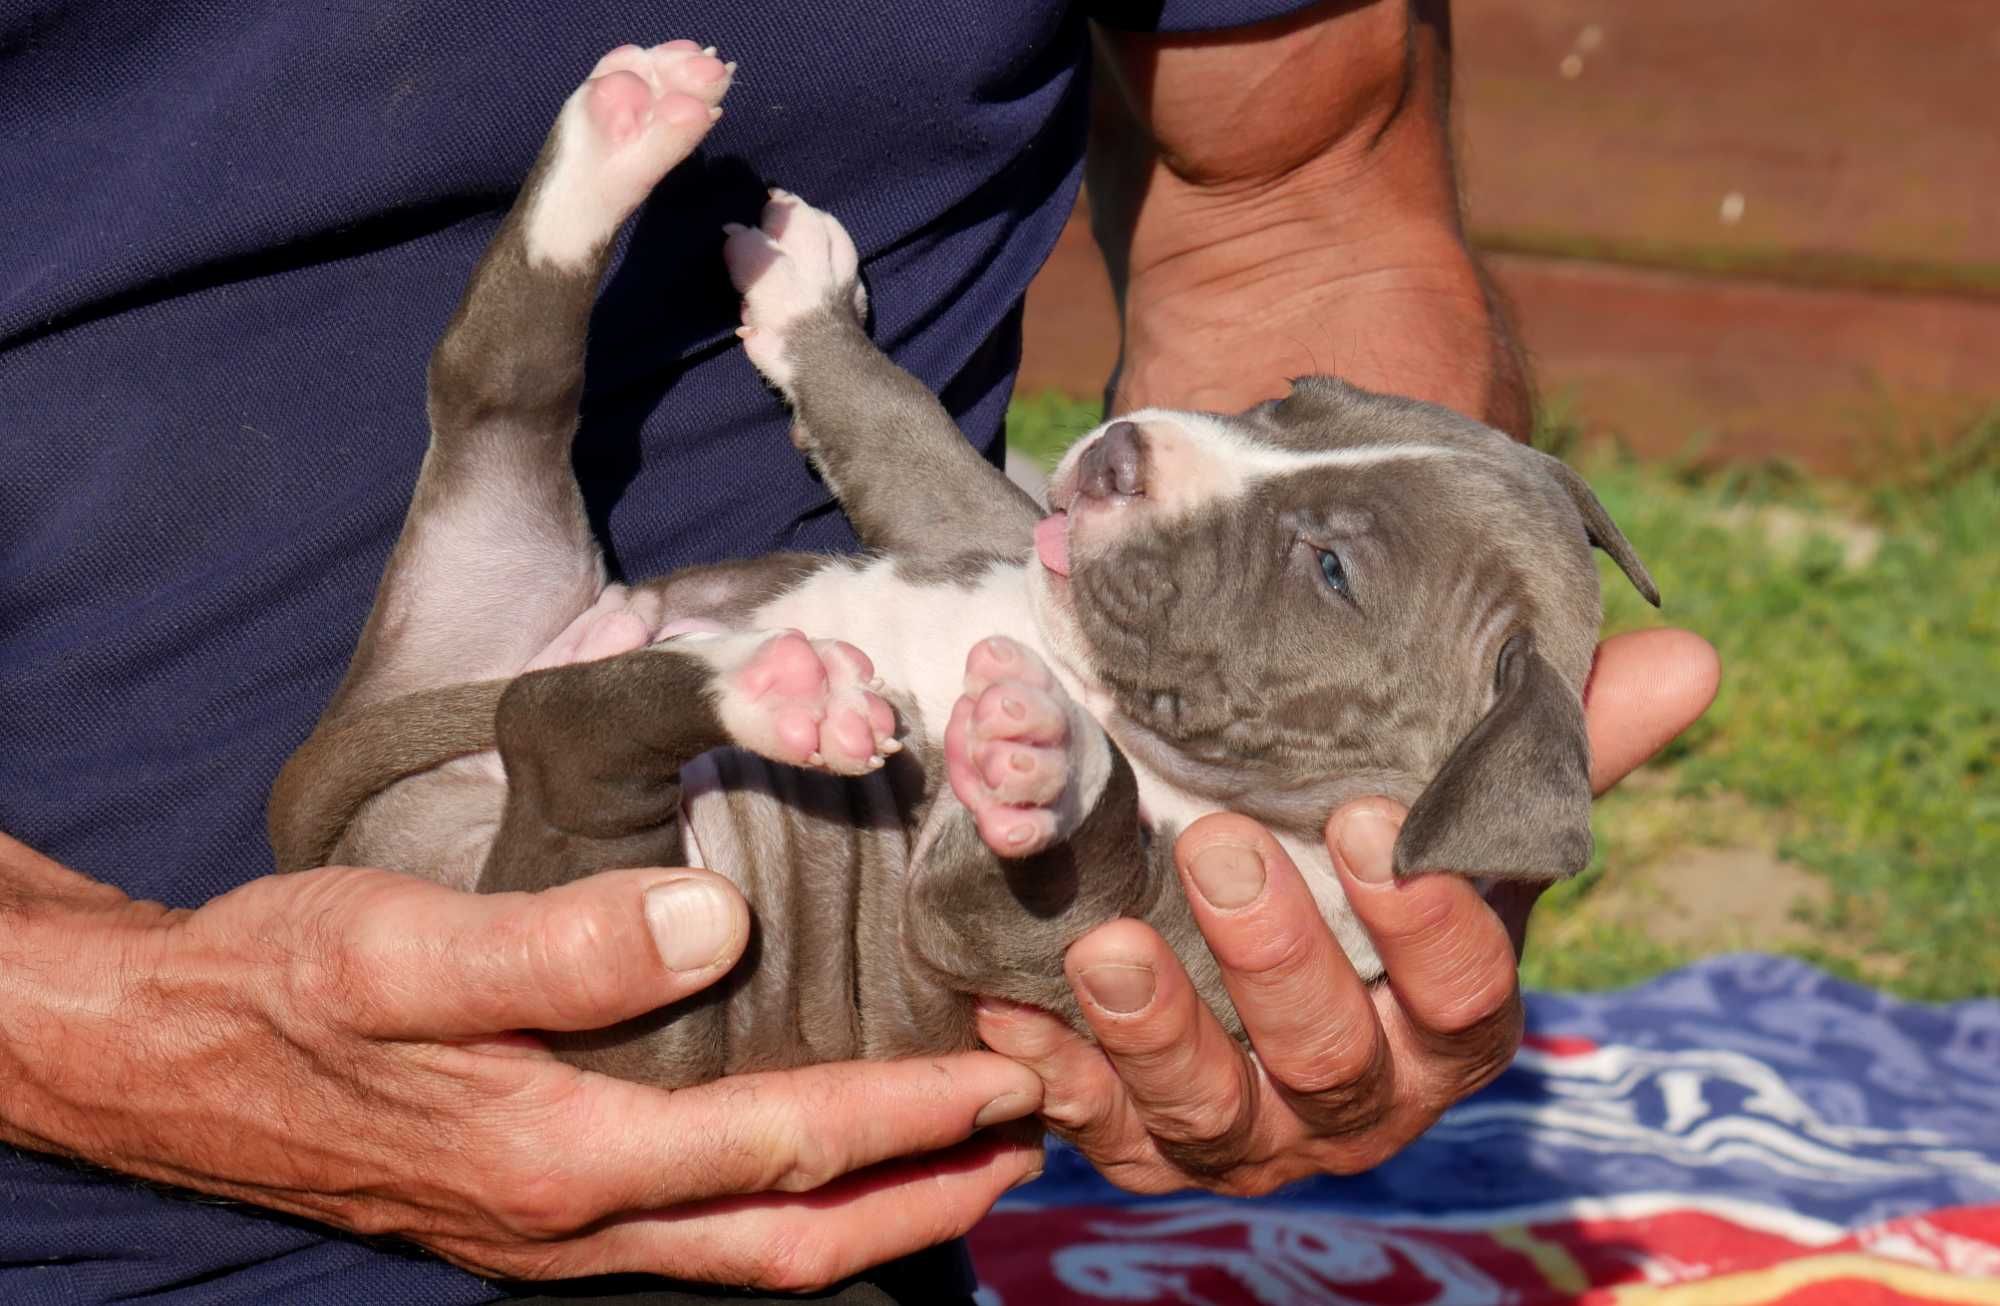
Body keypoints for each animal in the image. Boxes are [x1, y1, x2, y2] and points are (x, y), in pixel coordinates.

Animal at [274, 43, 1664, 1088]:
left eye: (1327, 571)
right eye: (1289, 397)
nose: (1114, 455)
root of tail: (372, 834)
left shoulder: (1101, 943)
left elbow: (1058, 876)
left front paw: (1034, 757)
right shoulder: (969, 525)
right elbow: (904, 432)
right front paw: (803, 304)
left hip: (605, 943)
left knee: (569, 739)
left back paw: (787, 692)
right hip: (480, 554)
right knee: (496, 383)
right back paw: (632, 121)